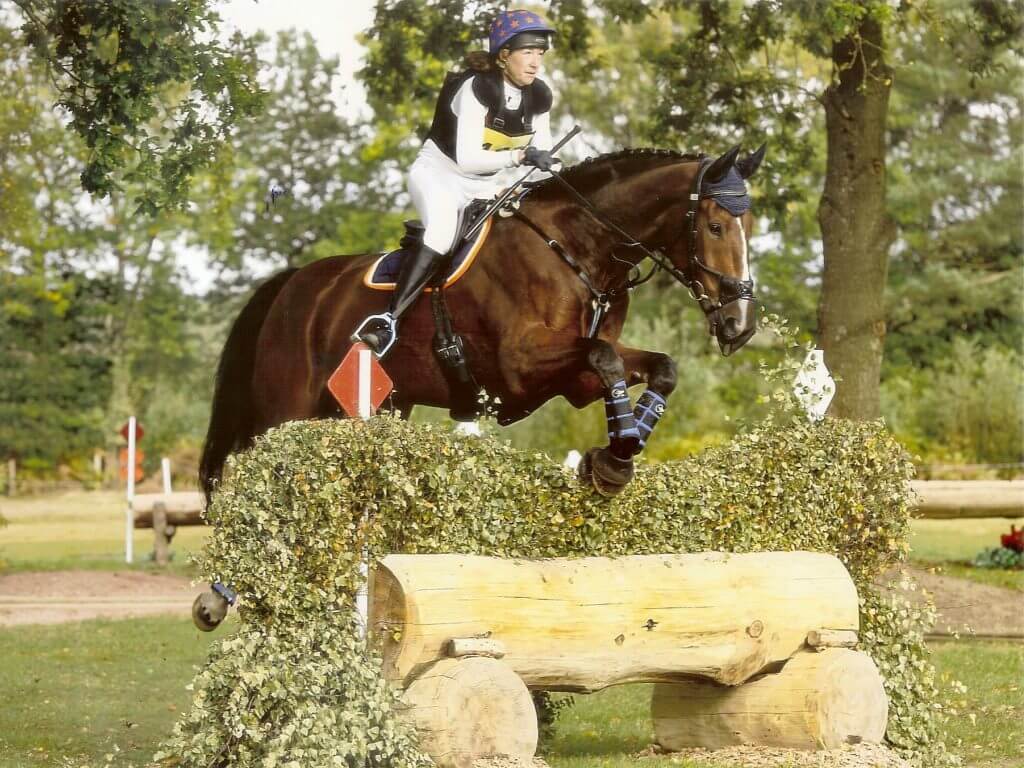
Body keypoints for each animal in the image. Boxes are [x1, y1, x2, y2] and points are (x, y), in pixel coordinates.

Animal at [199, 144, 765, 501]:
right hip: (286, 409)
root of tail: (292, 283)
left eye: (751, 224)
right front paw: (615, 458)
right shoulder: (521, 367)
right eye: (716, 226)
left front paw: (616, 459)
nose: (740, 325)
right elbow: (604, 358)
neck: (577, 248)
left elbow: (655, 368)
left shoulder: (575, 380)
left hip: (372, 408)